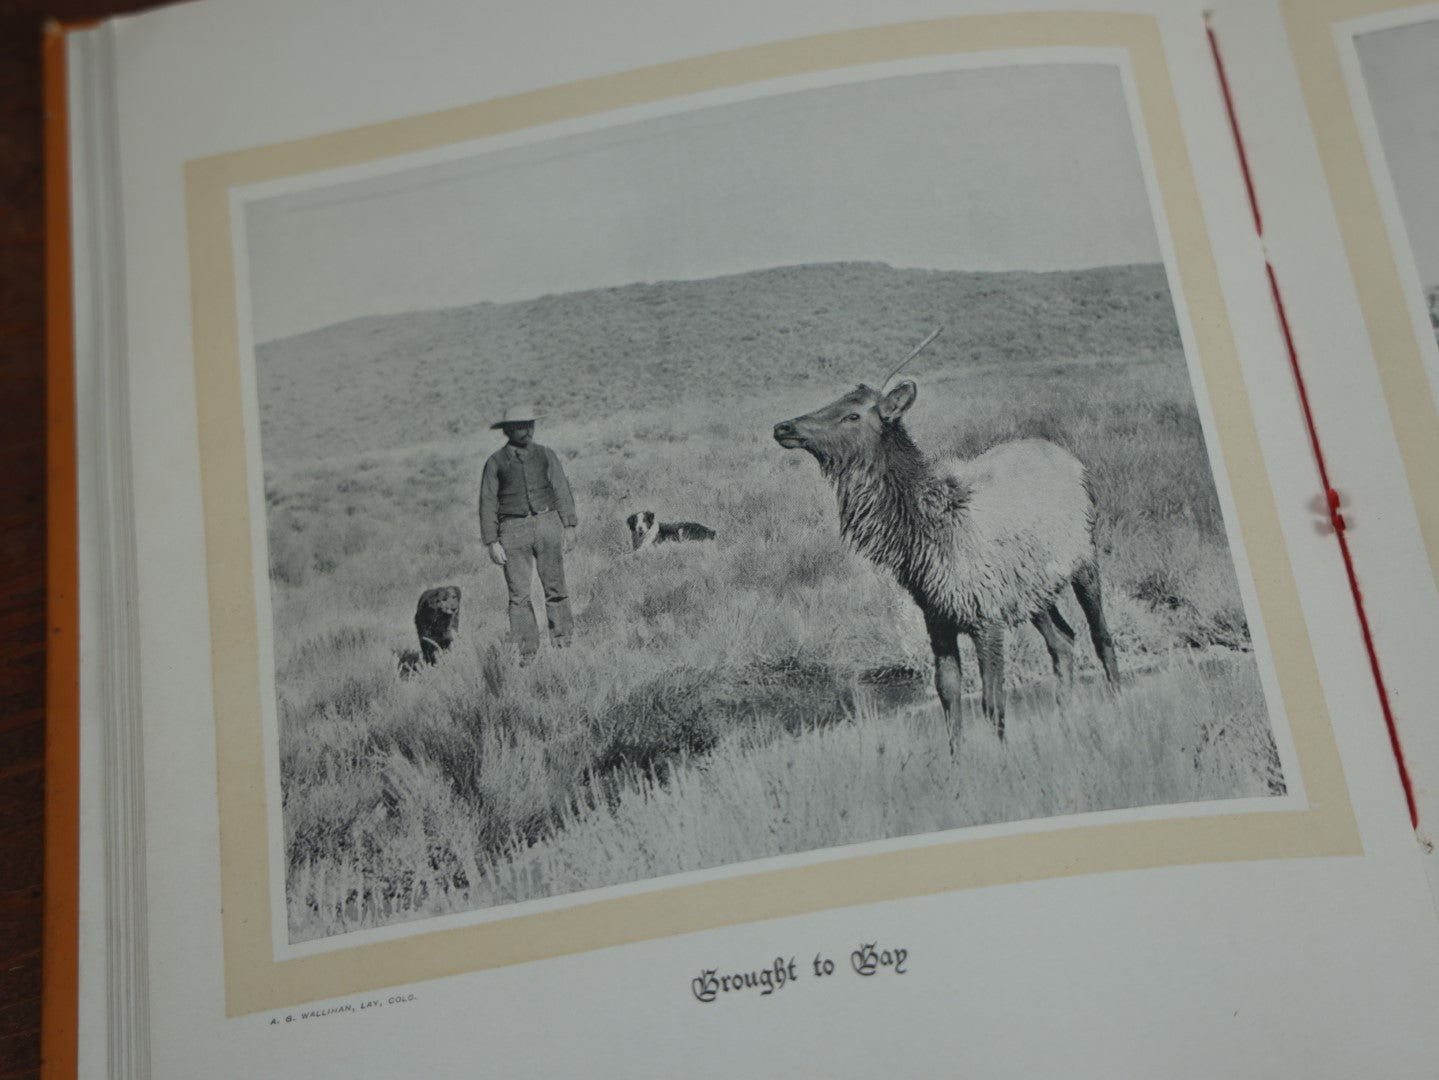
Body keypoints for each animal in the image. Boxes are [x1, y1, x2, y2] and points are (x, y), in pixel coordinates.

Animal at [777, 337, 1122, 742]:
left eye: (852, 415)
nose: (783, 427)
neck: (919, 542)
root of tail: (1071, 460)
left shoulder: (986, 616)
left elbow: (992, 702)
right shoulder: (937, 619)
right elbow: (949, 698)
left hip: (1083, 560)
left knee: (1101, 636)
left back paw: (1117, 704)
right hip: (1035, 590)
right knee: (1064, 641)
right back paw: (1066, 719)